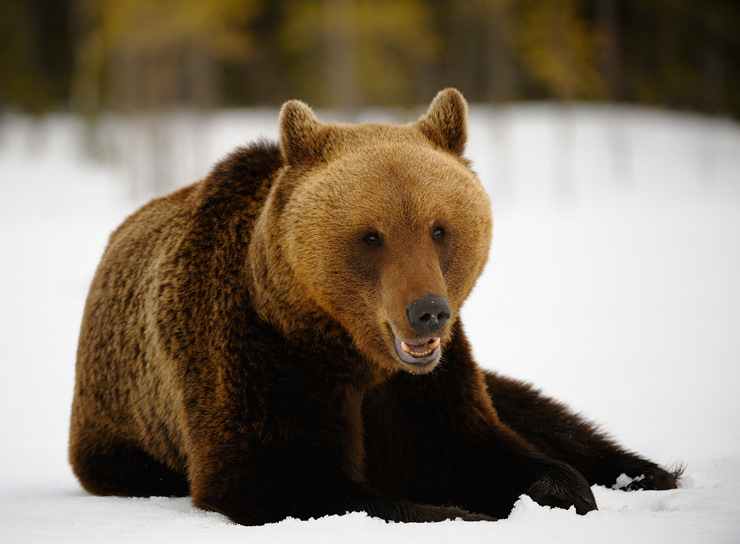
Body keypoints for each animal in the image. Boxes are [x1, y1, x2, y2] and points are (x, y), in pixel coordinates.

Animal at [69, 88, 679, 525]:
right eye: (371, 236)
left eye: (440, 228)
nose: (428, 311)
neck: (350, 350)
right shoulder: (256, 356)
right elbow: (283, 474)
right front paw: (462, 514)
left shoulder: (426, 383)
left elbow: (473, 447)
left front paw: (565, 493)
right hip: (122, 438)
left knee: (543, 412)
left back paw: (647, 473)